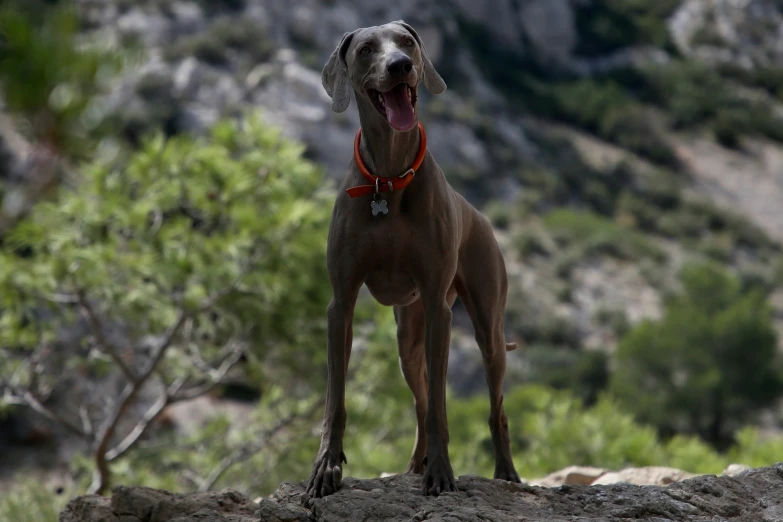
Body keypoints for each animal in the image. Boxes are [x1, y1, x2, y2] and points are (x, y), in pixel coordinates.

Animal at [306, 20, 520, 498]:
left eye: (407, 42)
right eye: (366, 49)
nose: (401, 65)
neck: (387, 177)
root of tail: (478, 214)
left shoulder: (439, 306)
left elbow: (442, 406)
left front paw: (441, 473)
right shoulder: (340, 305)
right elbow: (335, 400)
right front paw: (326, 468)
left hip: (487, 329)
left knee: (493, 406)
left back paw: (506, 472)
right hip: (408, 337)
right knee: (421, 402)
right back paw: (413, 464)